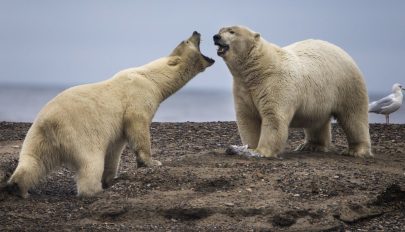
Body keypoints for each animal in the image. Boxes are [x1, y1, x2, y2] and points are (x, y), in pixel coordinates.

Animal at [7, 31, 215, 198]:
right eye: (186, 40)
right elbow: (138, 125)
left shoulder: (117, 130)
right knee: (90, 163)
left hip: (37, 136)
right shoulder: (139, 96)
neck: (150, 77)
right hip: (79, 134)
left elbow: (114, 149)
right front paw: (152, 162)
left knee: (32, 161)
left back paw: (18, 187)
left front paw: (110, 178)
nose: (196, 31)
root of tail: (50, 123)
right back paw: (94, 190)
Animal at [213, 26, 370, 159]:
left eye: (232, 31)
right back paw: (310, 146)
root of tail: (344, 53)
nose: (216, 37)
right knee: (317, 121)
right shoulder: (243, 87)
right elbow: (247, 117)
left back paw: (356, 150)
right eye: (220, 29)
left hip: (347, 85)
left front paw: (261, 152)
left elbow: (273, 117)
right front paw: (248, 147)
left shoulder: (275, 83)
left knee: (354, 116)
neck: (259, 67)